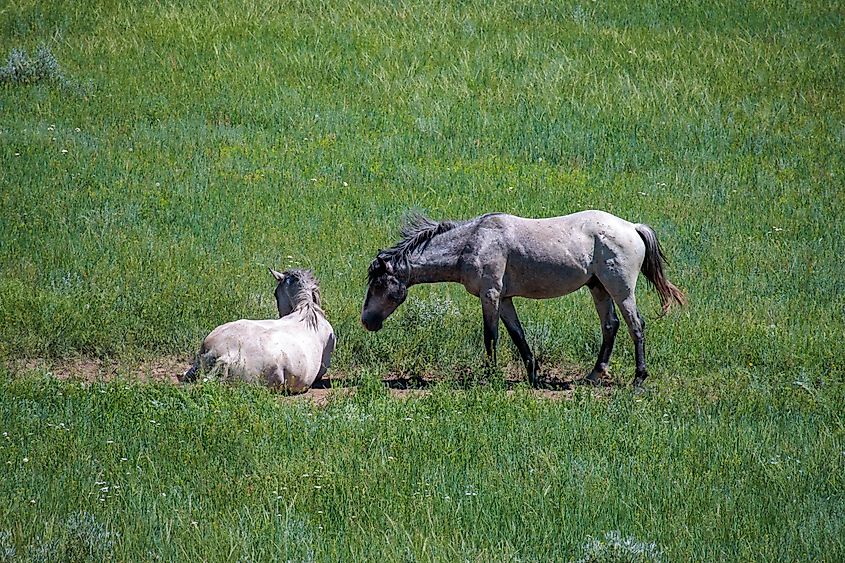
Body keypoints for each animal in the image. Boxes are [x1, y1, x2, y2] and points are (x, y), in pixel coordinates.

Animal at [360, 212, 684, 388]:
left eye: (377, 283)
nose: (367, 321)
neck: (472, 242)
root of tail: (632, 227)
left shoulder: (490, 295)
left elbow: (490, 336)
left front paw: (490, 375)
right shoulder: (504, 299)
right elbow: (518, 336)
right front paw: (532, 375)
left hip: (620, 289)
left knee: (635, 325)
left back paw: (639, 378)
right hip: (598, 288)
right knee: (611, 326)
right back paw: (594, 375)